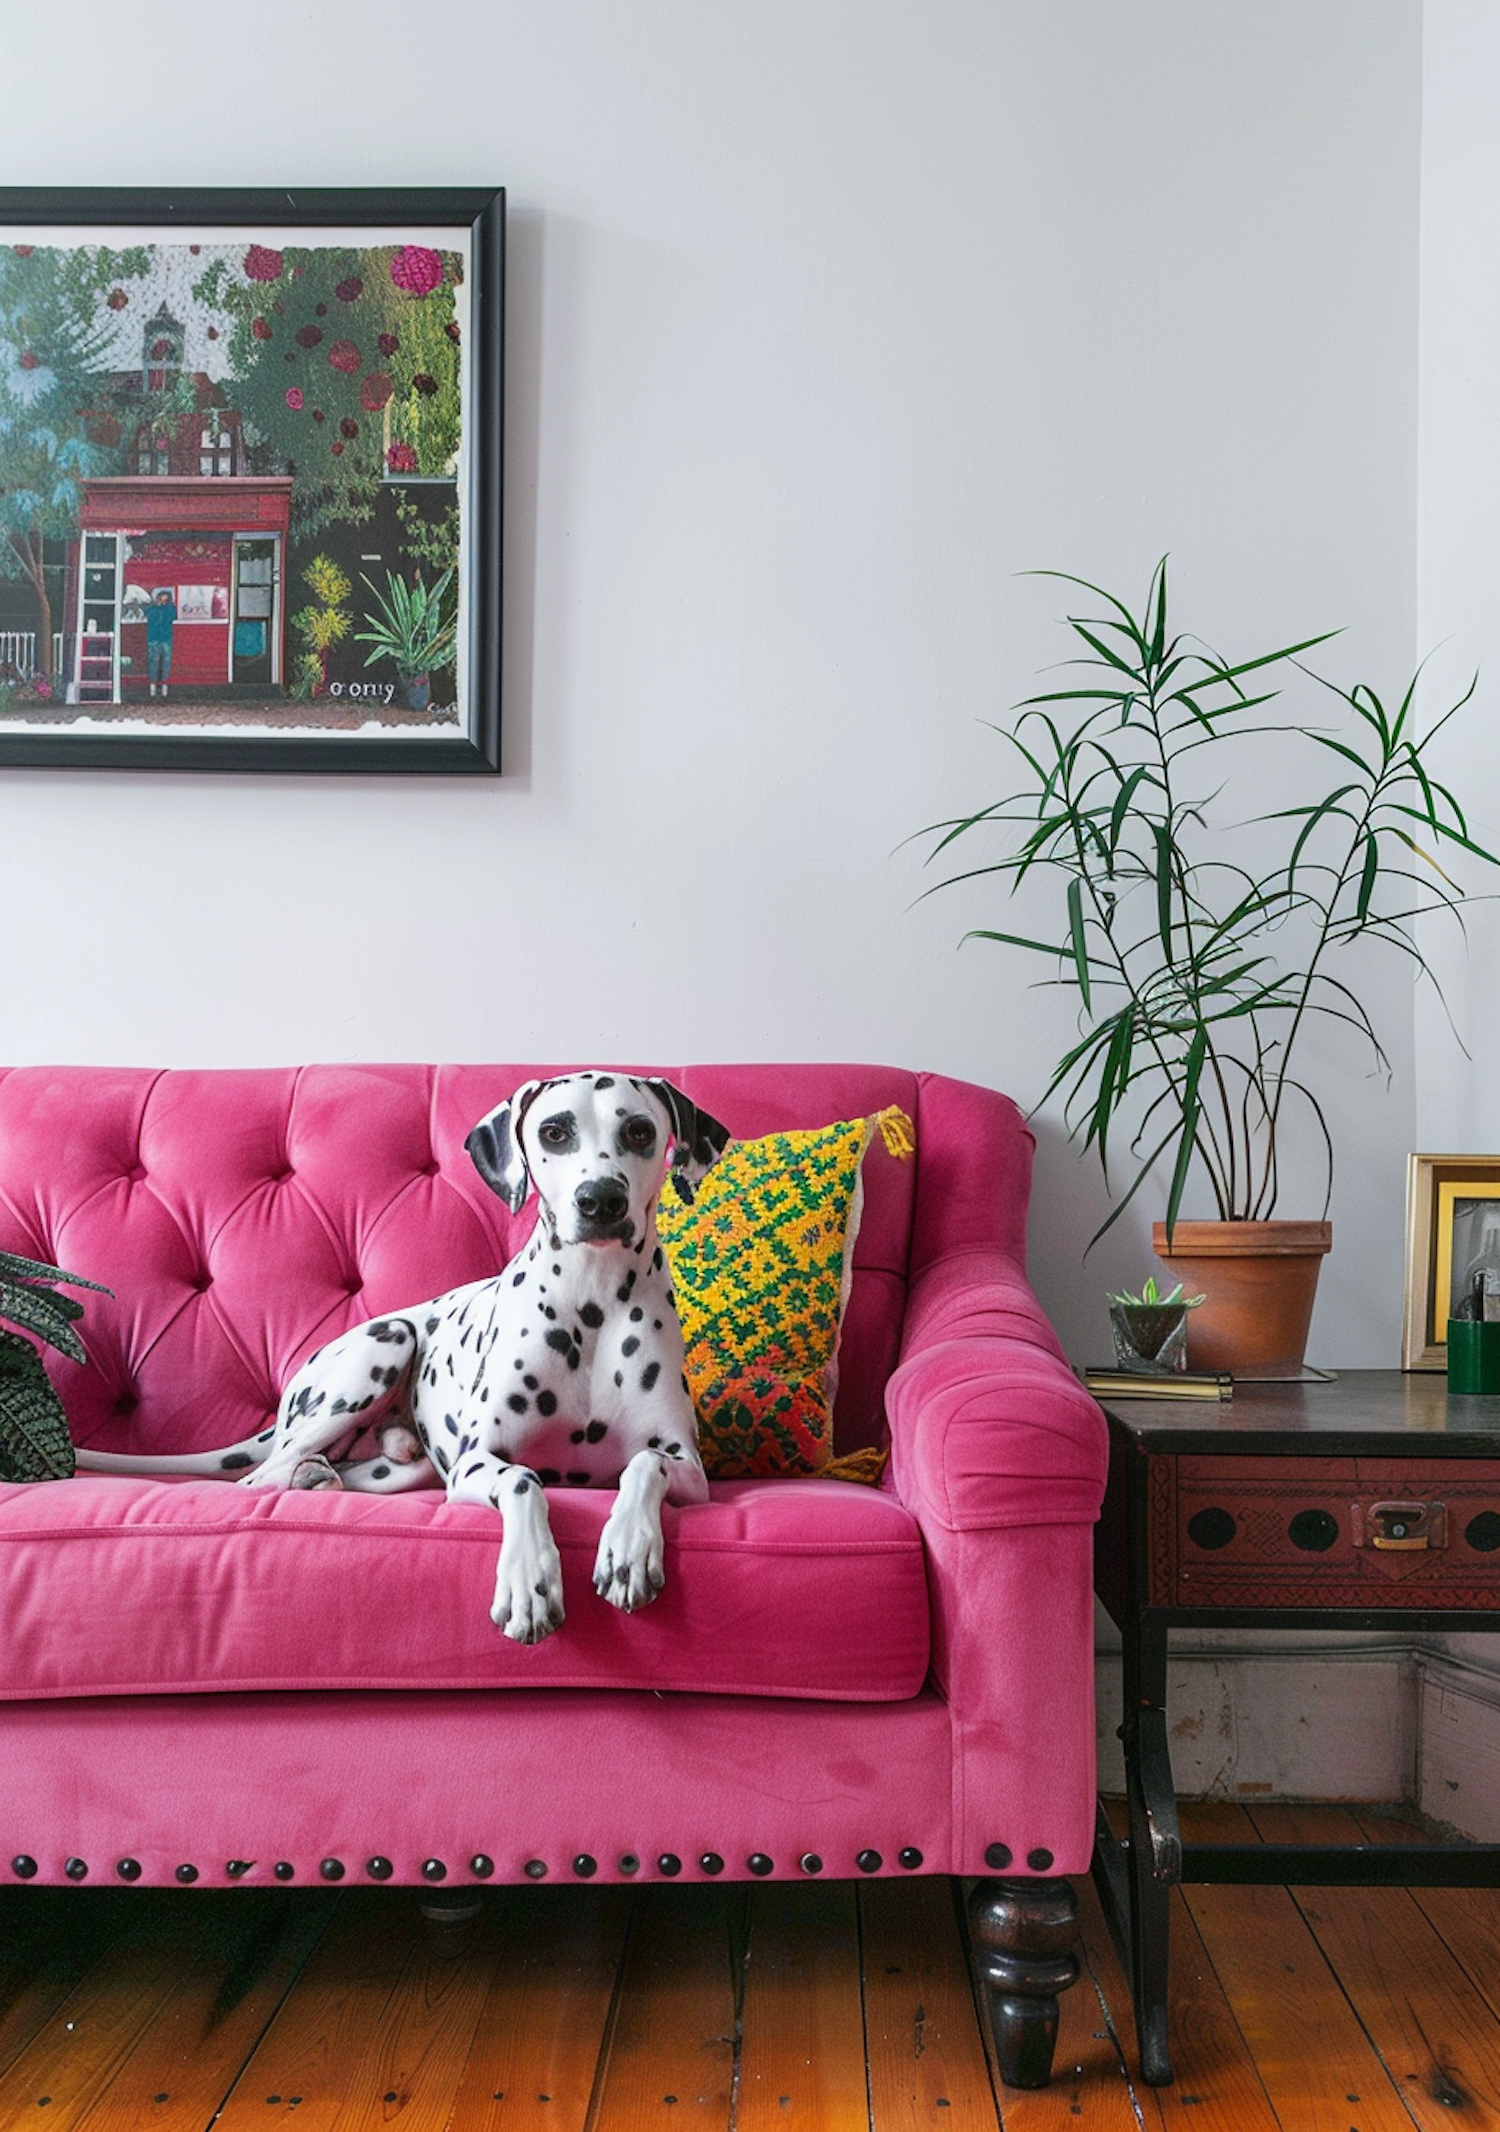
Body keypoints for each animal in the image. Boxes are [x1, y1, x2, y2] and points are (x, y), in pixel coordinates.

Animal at [76, 1083, 732, 1645]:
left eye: (640, 1130)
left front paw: (628, 1548)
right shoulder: (475, 1464)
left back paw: (330, 1472)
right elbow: (524, 1480)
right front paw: (530, 1582)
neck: (592, 1301)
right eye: (554, 1132)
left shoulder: (688, 1468)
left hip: (401, 1470)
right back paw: (301, 1473)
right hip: (384, 1344)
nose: (600, 1200)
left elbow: (643, 1462)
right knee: (257, 1478)